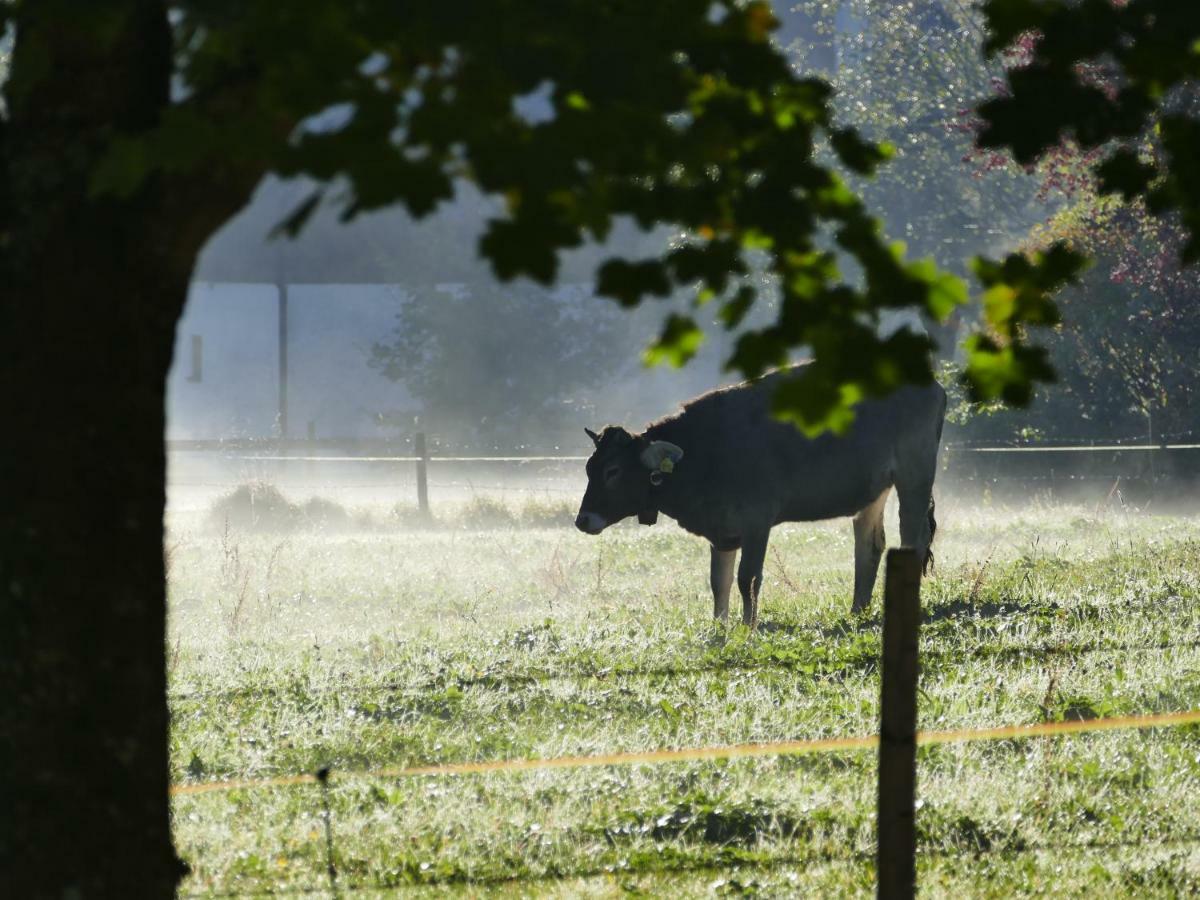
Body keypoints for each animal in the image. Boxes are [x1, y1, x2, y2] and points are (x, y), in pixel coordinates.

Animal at [573, 367, 945, 628]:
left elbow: (747, 578)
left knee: (912, 539)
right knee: (868, 546)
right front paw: (719, 626)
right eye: (590, 468)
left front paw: (747, 627)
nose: (582, 519)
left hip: (914, 475)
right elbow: (718, 581)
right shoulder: (722, 531)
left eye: (613, 471)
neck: (705, 450)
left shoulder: (756, 521)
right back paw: (858, 610)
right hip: (873, 492)